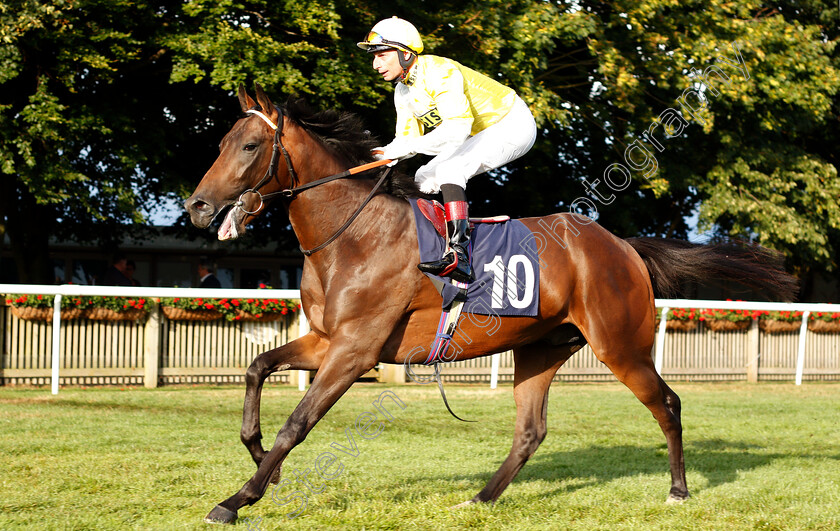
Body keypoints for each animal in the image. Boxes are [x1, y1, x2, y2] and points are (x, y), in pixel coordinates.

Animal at [187, 85, 796, 524]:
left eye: (249, 147)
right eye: (218, 145)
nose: (197, 206)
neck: (354, 234)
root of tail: (622, 245)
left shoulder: (355, 350)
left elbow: (297, 423)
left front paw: (238, 498)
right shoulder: (325, 340)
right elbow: (256, 368)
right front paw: (262, 462)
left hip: (620, 344)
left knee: (666, 403)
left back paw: (677, 490)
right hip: (541, 348)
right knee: (531, 431)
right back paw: (479, 499)